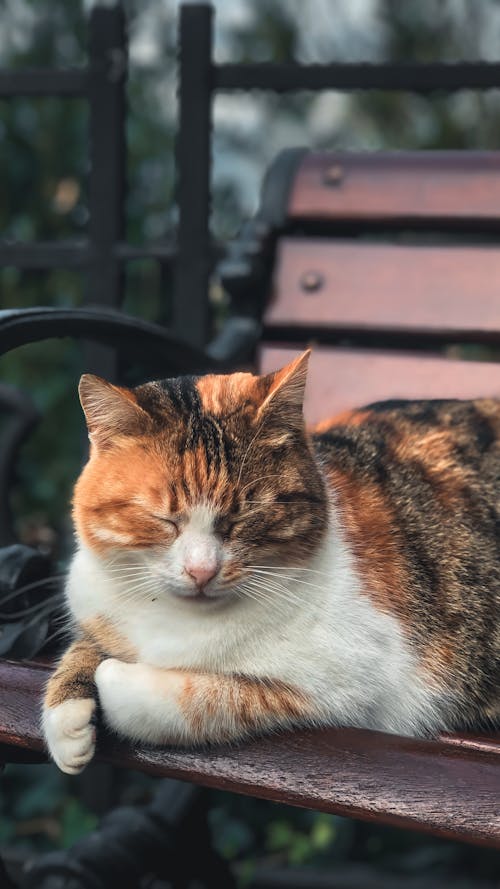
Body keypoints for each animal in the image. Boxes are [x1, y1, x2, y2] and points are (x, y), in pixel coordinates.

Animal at [42, 350, 500, 772]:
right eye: (165, 518)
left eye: (243, 515)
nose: (202, 571)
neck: (178, 621)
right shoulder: (97, 604)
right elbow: (89, 643)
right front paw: (67, 716)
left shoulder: (355, 684)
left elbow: (201, 698)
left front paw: (113, 680)